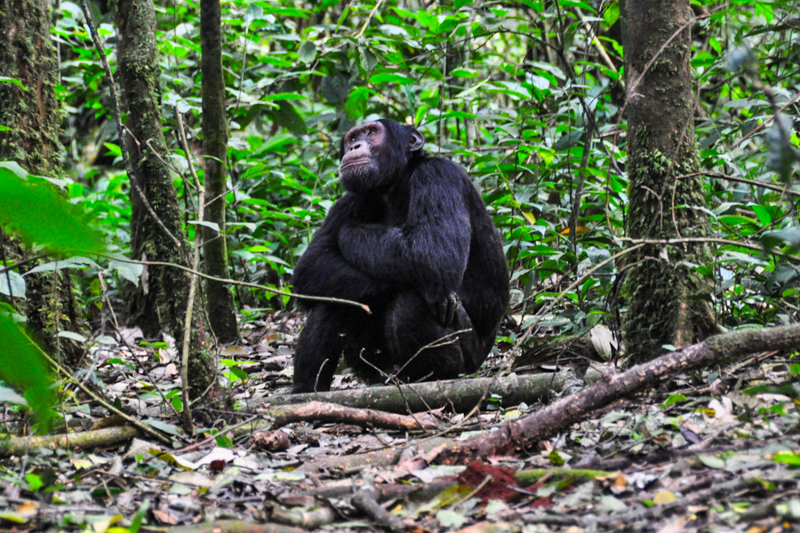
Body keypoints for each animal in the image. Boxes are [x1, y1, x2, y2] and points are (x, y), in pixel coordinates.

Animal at [290, 121, 510, 394]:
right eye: (352, 137)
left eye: (372, 132)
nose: (354, 146)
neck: (396, 185)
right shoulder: (350, 200)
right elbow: (312, 264)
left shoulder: (438, 176)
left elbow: (434, 255)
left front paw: (351, 231)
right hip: (374, 367)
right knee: (333, 300)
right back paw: (306, 389)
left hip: (470, 358)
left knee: (412, 298)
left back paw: (432, 376)